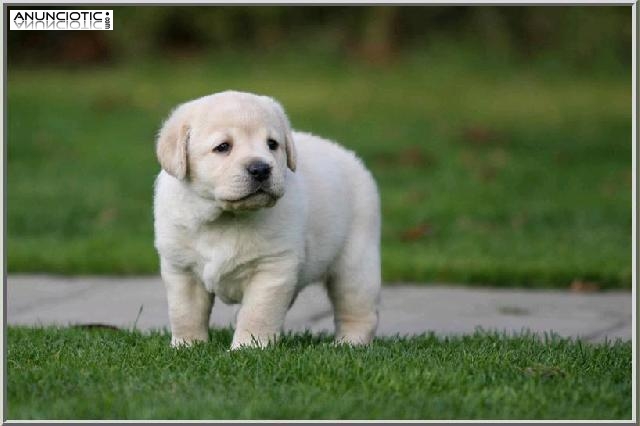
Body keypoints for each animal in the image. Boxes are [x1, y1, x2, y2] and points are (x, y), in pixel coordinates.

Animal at [153, 90, 380, 350]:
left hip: (356, 263)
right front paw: (187, 346)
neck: (225, 217)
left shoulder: (272, 268)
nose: (261, 168)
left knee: (358, 310)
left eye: (272, 144)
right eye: (223, 147)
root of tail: (350, 157)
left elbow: (257, 313)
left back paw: (348, 344)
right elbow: (185, 314)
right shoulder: (181, 269)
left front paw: (248, 347)